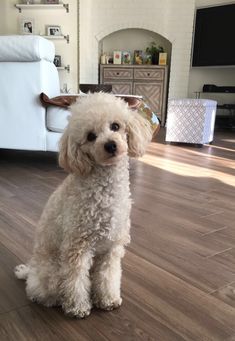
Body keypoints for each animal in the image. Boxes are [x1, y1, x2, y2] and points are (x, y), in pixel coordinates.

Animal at [14, 91, 152, 318]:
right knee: (40, 291)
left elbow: (108, 276)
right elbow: (75, 280)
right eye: (90, 136)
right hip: (52, 272)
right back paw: (49, 299)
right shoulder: (77, 247)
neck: (106, 189)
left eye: (115, 126)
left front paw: (107, 299)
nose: (110, 145)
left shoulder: (111, 248)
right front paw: (78, 307)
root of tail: (32, 271)